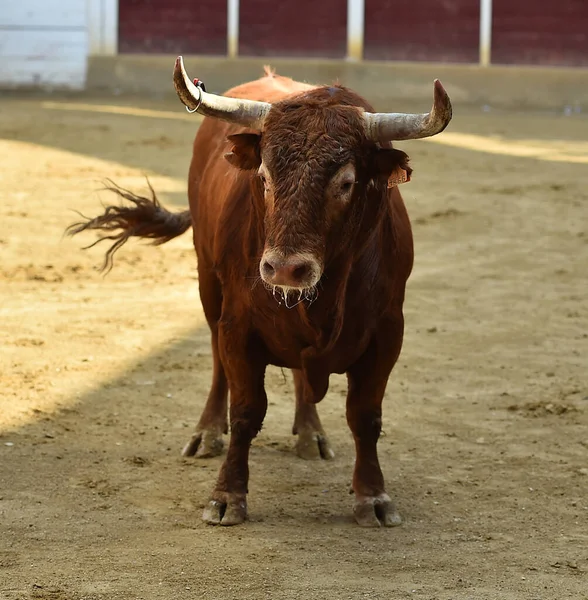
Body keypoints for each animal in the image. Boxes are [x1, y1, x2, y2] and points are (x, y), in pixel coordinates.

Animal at [70, 55, 454, 524]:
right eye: (265, 177)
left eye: (346, 183)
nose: (286, 268)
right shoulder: (238, 326)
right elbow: (246, 411)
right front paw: (226, 496)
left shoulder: (387, 333)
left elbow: (365, 416)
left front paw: (373, 497)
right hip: (207, 282)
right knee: (217, 360)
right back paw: (207, 433)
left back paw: (310, 433)